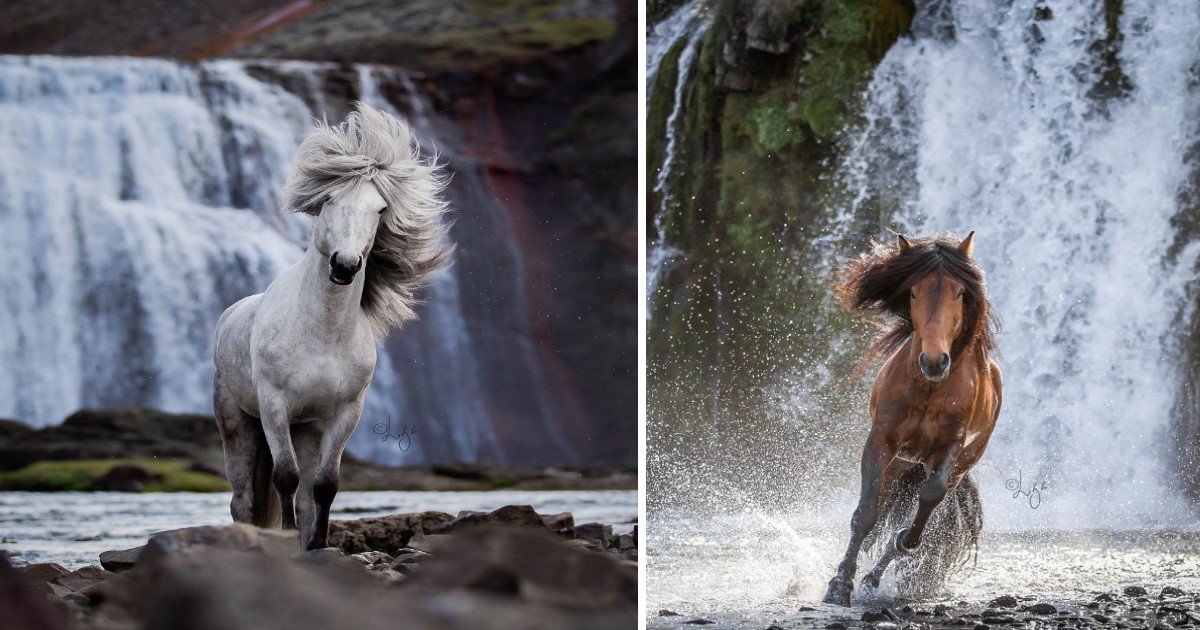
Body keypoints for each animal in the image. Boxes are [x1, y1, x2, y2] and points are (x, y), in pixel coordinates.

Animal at [213, 102, 451, 544]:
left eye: (379, 209)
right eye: (327, 201)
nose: (344, 266)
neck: (323, 333)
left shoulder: (344, 414)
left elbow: (324, 487)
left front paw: (317, 547)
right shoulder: (274, 407)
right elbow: (285, 478)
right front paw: (289, 542)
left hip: (307, 429)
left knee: (304, 496)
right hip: (238, 423)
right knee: (243, 501)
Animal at [820, 230, 998, 604]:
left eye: (960, 293)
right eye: (913, 292)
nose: (934, 361)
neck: (928, 390)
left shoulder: (949, 449)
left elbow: (928, 500)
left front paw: (905, 541)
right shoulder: (880, 442)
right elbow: (867, 512)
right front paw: (839, 586)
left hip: (956, 465)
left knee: (926, 508)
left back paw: (876, 575)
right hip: (901, 462)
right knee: (881, 507)